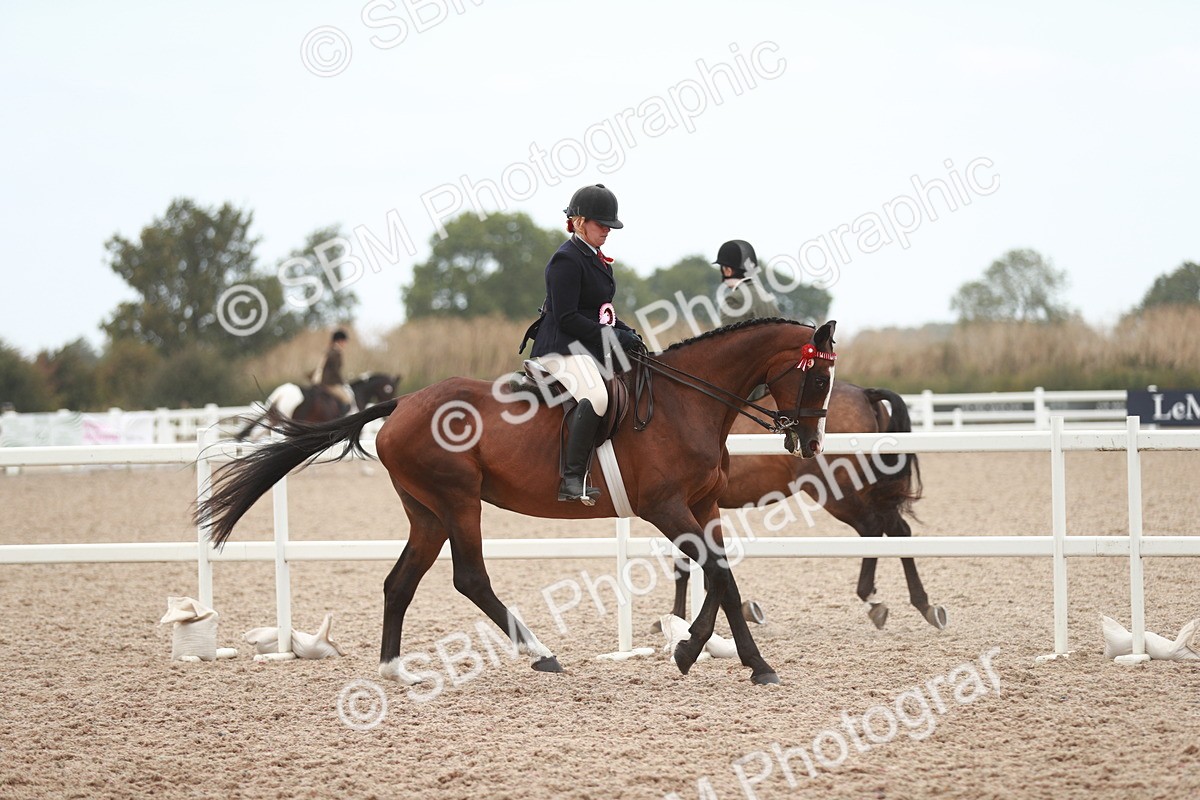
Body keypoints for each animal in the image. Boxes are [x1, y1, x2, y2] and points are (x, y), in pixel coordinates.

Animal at [666, 383, 947, 630]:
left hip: (835, 493)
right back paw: (924, 605)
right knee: (899, 530)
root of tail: (865, 393)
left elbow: (685, 565)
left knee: (872, 526)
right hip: (869, 489)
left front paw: (676, 617)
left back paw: (871, 599)